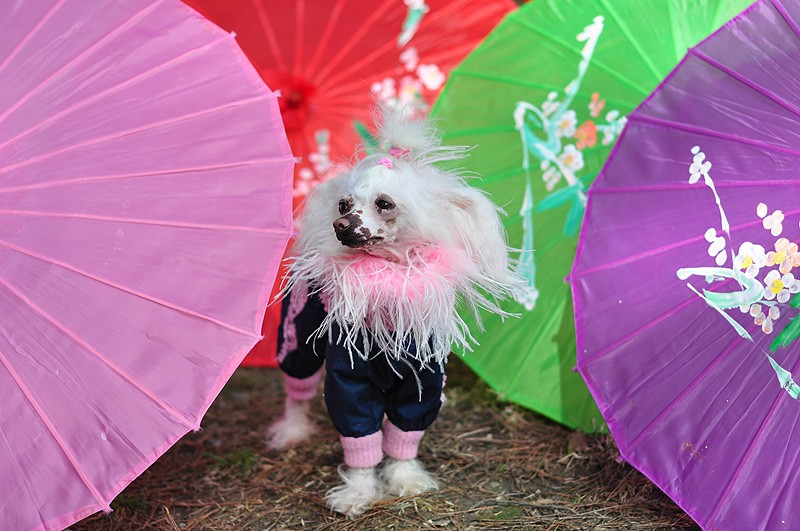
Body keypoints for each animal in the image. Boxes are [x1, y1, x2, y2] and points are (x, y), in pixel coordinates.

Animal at [267, 106, 522, 517]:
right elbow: (360, 438)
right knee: (297, 387)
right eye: (343, 204)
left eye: (384, 203)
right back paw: (291, 430)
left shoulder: (423, 381)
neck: (389, 283)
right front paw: (357, 492)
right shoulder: (349, 382)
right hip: (299, 340)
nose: (339, 224)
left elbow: (405, 434)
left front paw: (405, 479)